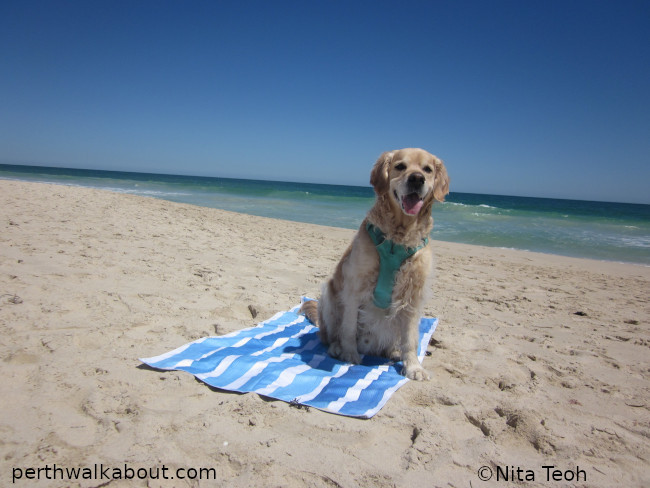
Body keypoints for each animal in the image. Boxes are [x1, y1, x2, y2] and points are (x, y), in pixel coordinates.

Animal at [302, 147, 448, 380]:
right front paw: (349, 354)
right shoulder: (354, 286)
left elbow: (411, 339)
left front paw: (413, 366)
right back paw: (337, 348)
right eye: (400, 166)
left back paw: (394, 351)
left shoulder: (413, 296)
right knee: (331, 335)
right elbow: (349, 327)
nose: (417, 179)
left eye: (428, 169)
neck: (399, 236)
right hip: (329, 295)